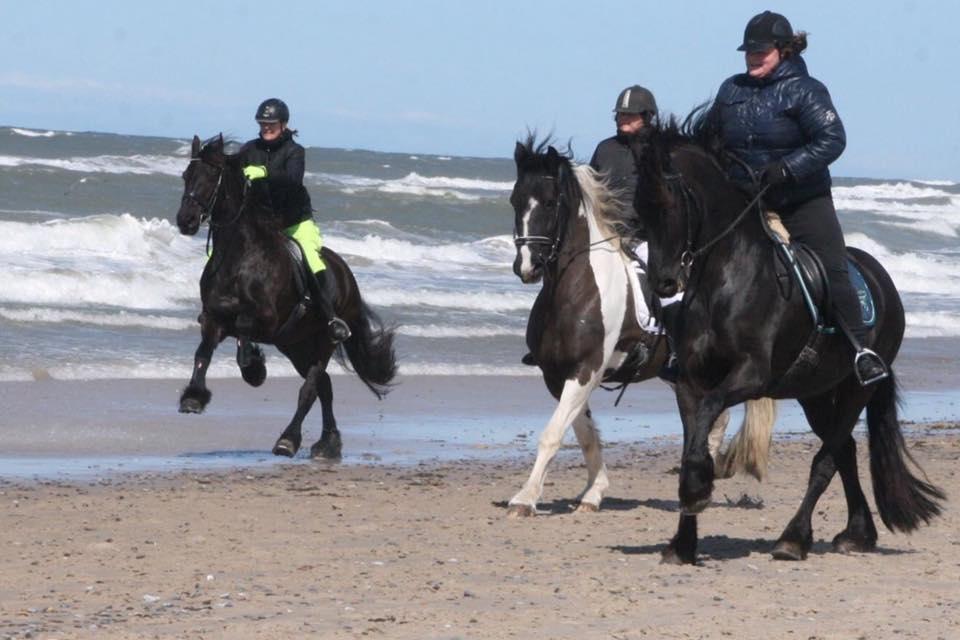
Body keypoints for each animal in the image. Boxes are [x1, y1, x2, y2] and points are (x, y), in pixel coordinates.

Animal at [174, 135, 396, 458]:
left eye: (212, 176)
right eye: (186, 176)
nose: (186, 221)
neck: (238, 259)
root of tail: (346, 274)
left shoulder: (267, 319)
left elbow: (243, 327)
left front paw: (254, 367)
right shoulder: (214, 318)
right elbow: (203, 353)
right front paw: (193, 397)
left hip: (323, 341)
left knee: (311, 388)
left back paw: (288, 440)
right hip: (295, 345)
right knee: (324, 387)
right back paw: (328, 443)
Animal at [506, 138, 776, 516]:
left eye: (548, 202)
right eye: (515, 200)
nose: (527, 267)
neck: (574, 290)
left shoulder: (586, 369)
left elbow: (553, 434)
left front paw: (525, 498)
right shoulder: (558, 375)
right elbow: (584, 434)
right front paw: (593, 493)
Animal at [632, 112, 944, 564]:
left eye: (671, 203)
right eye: (640, 206)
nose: (664, 282)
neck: (723, 279)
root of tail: (881, 277)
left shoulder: (750, 375)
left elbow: (709, 415)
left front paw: (697, 491)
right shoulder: (690, 380)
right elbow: (694, 435)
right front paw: (684, 540)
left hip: (856, 388)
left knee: (828, 458)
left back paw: (794, 538)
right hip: (814, 391)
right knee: (844, 451)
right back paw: (857, 533)